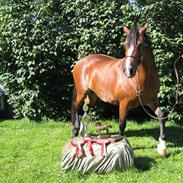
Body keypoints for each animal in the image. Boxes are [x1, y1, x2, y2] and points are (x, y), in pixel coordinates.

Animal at [71, 23, 167, 155]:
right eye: (125, 44)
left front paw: (162, 146)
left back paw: (85, 135)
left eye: (140, 44)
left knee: (86, 112)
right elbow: (122, 124)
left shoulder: (152, 100)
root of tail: (80, 61)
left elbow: (161, 116)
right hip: (82, 92)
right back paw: (75, 133)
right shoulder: (123, 103)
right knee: (76, 108)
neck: (141, 79)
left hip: (92, 95)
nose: (128, 71)